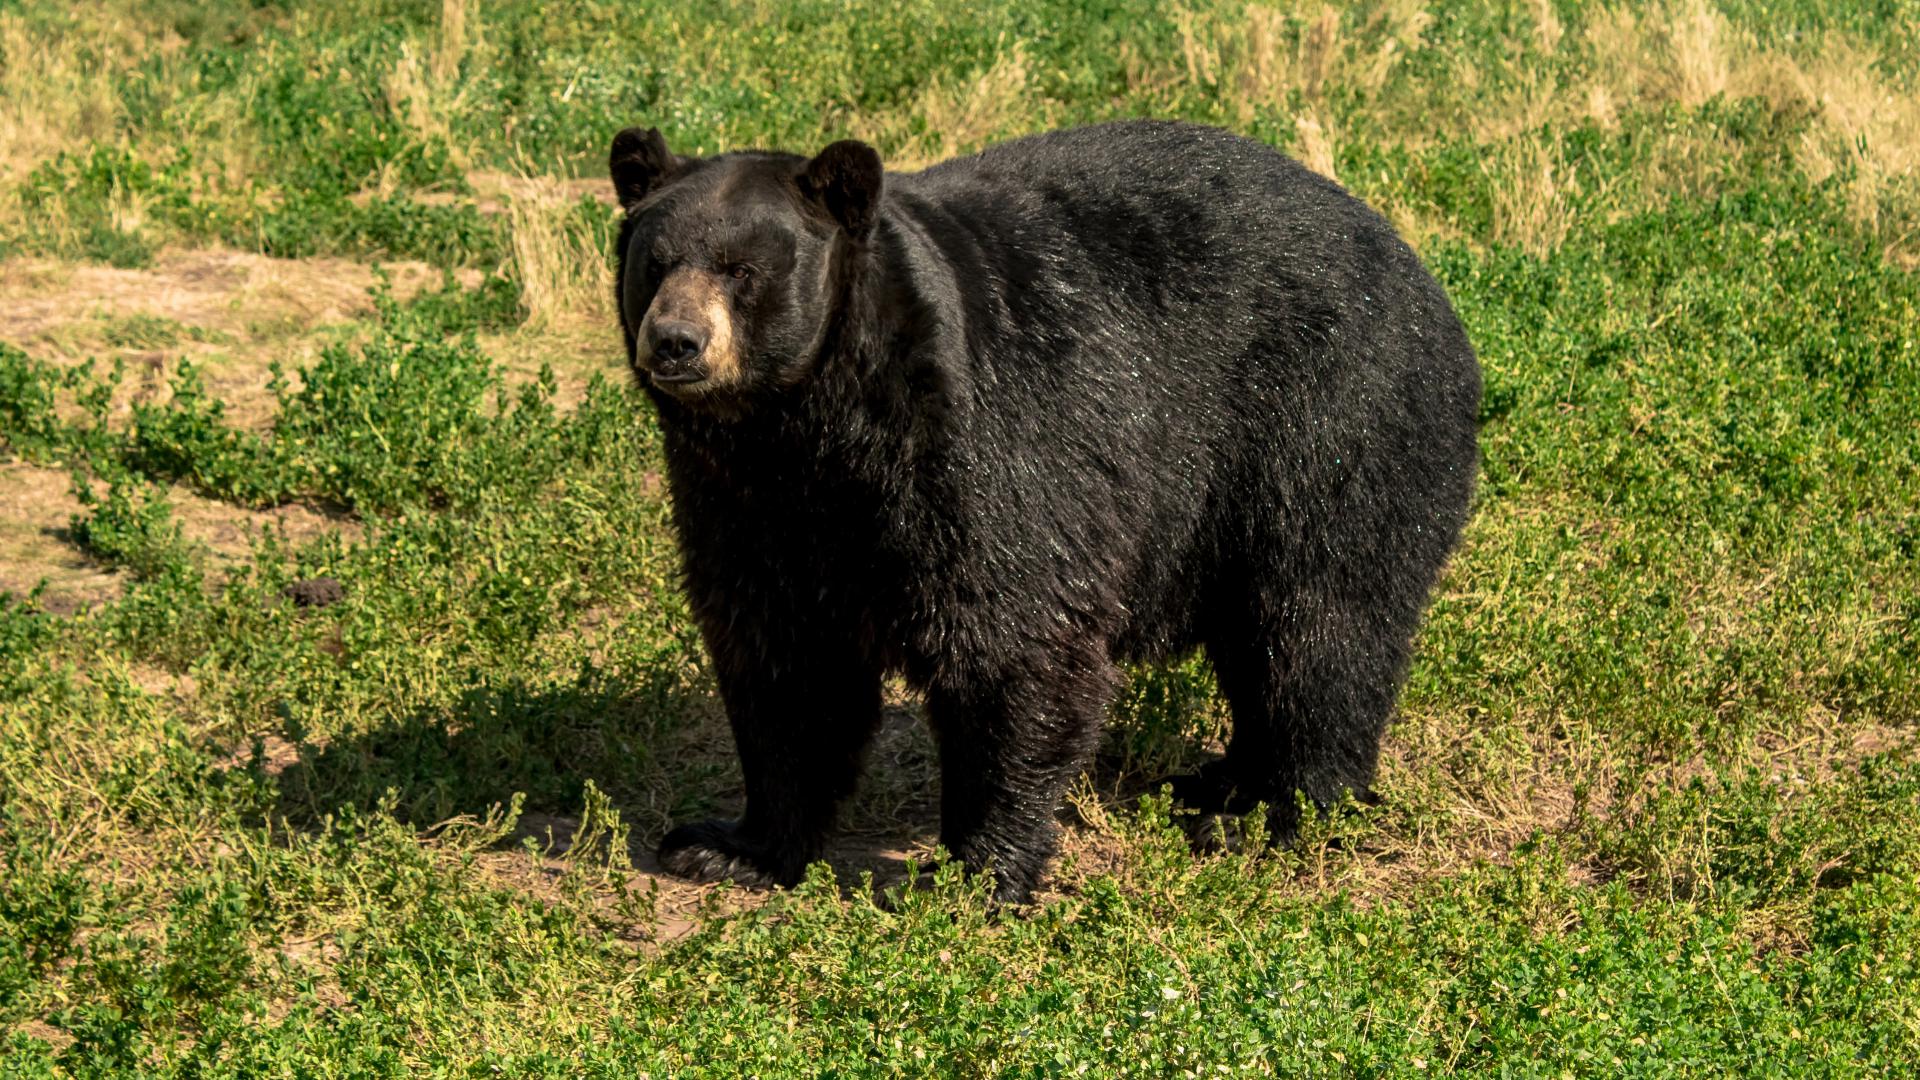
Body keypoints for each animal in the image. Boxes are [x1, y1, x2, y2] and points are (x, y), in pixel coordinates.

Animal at [609, 119, 1480, 904]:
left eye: (741, 269)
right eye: (654, 264)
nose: (677, 341)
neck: (811, 428)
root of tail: (1416, 265)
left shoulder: (982, 447)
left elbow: (1012, 637)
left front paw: (970, 873)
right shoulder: (742, 501)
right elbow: (784, 660)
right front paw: (728, 845)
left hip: (1327, 422)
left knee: (1320, 625)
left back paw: (1277, 811)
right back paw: (1220, 781)